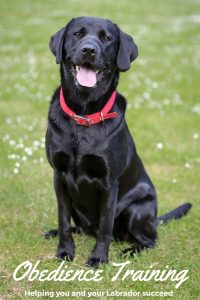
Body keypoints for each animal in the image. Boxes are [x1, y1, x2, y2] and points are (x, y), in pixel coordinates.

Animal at [45, 16, 191, 266]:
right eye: (77, 34)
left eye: (106, 38)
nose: (89, 50)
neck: (84, 113)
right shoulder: (59, 176)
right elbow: (63, 220)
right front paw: (64, 251)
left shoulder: (109, 183)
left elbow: (106, 226)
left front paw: (98, 258)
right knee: (77, 227)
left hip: (136, 209)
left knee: (149, 240)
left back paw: (130, 251)